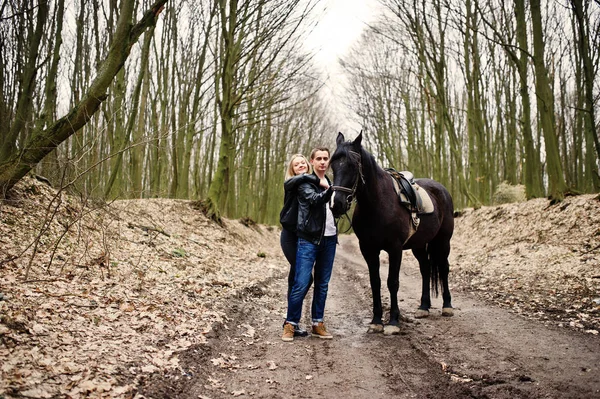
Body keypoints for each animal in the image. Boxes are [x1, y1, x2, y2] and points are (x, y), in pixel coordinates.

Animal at [330, 132, 452, 334]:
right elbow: (375, 282)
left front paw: (394, 321)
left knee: (443, 268)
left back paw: (447, 306)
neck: (378, 203)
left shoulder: (394, 249)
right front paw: (376, 321)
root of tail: (441, 189)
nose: (336, 204)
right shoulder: (368, 249)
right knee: (425, 269)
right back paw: (423, 307)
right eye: (332, 165)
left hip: (443, 241)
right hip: (419, 245)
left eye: (353, 166)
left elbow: (392, 282)